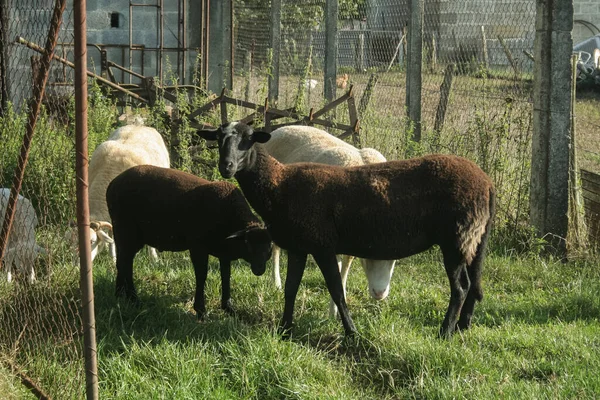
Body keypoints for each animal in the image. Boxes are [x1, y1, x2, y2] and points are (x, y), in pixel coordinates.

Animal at [106, 165, 272, 318]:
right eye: (248, 244)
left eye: (269, 245)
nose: (260, 269)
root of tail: (113, 184)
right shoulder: (198, 246)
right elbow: (202, 275)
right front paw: (201, 311)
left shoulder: (224, 252)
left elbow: (226, 276)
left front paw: (229, 308)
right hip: (126, 229)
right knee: (126, 263)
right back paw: (133, 299)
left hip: (129, 235)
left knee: (123, 261)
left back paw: (120, 295)